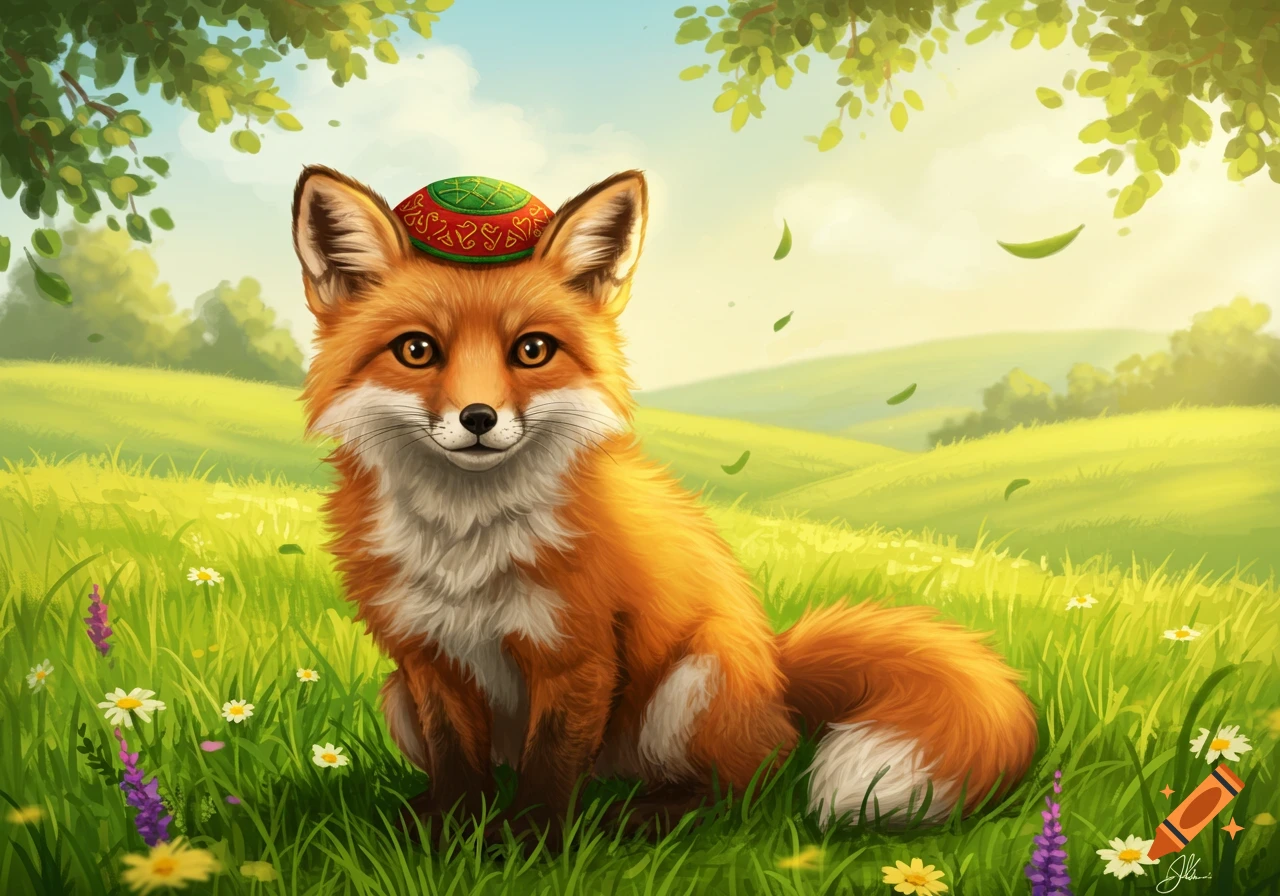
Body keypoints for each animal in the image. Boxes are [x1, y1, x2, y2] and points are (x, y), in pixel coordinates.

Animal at [289, 163, 1039, 846]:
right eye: (417, 350)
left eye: (532, 350)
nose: (479, 418)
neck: (466, 539)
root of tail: (777, 675)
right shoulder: (427, 657)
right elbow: (458, 770)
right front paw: (447, 834)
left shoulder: (578, 653)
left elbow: (549, 770)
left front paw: (529, 846)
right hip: (397, 697)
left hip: (691, 685)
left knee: (748, 786)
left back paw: (643, 818)